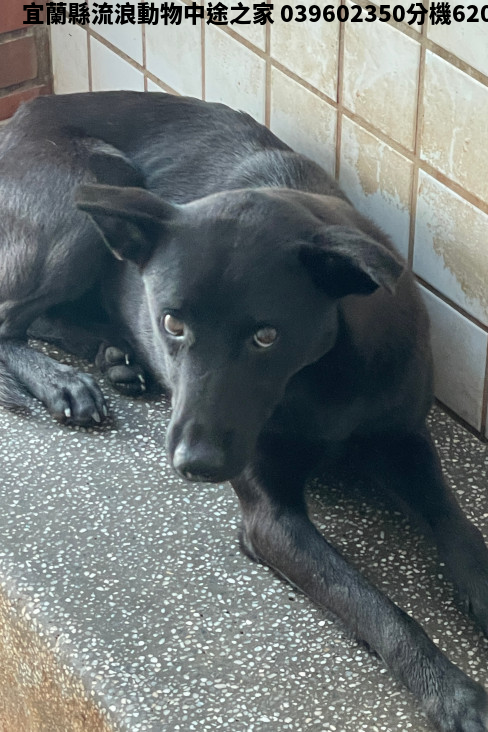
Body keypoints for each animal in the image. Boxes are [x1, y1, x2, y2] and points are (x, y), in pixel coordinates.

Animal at [0, 91, 487, 731]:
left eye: (266, 336)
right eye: (172, 322)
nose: (195, 465)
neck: (320, 375)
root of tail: (20, 117)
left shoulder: (404, 442)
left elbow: (456, 524)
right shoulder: (269, 520)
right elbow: (373, 604)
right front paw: (450, 691)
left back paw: (112, 356)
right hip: (94, 189)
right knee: (8, 318)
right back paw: (63, 381)